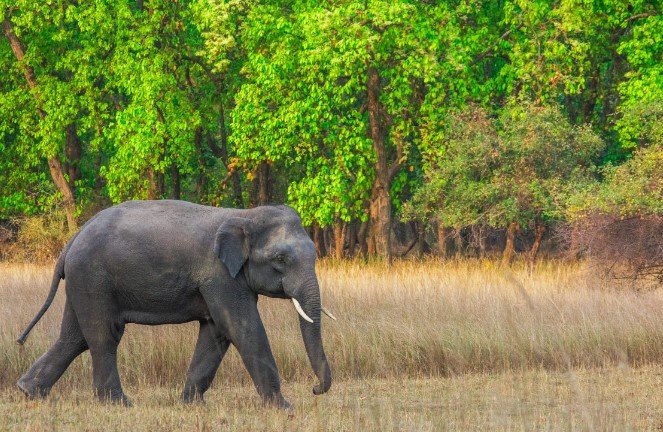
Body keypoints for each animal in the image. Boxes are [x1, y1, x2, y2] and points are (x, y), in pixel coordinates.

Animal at [16, 200, 335, 410]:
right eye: (281, 259)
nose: (315, 389)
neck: (243, 215)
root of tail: (72, 240)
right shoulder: (219, 275)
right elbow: (242, 328)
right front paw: (284, 408)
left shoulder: (221, 280)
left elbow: (217, 331)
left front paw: (192, 405)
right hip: (94, 278)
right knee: (104, 336)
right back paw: (119, 404)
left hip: (83, 282)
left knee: (74, 337)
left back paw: (29, 392)